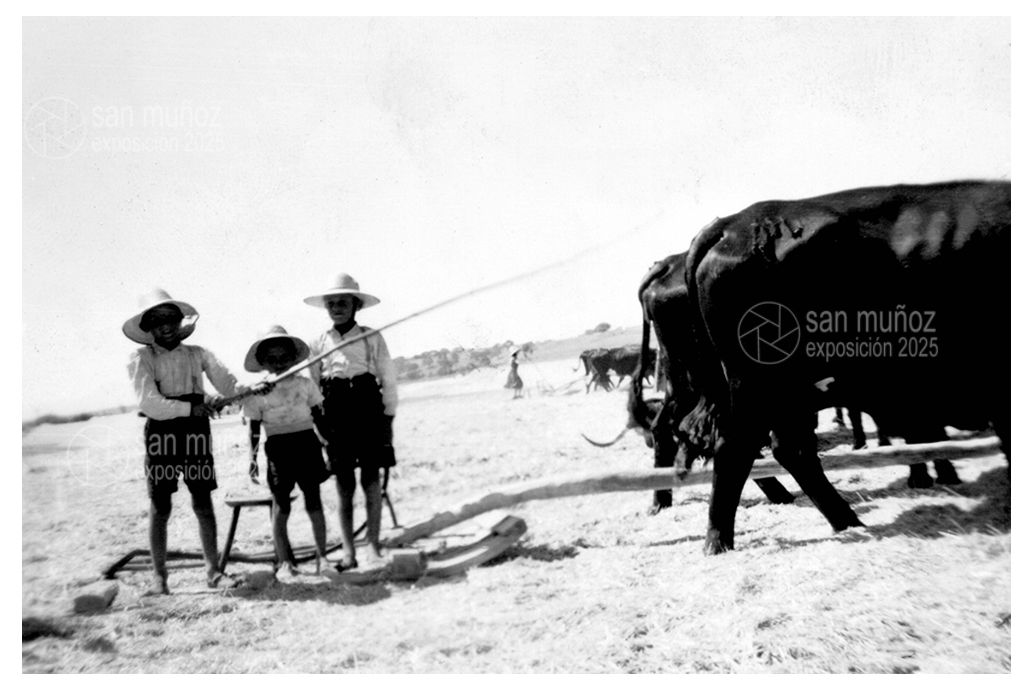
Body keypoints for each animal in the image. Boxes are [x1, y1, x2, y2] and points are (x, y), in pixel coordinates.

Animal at [629, 180, 1009, 554]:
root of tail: (731, 225)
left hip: (742, 386)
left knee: (777, 446)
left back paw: (843, 519)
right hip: (753, 385)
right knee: (735, 445)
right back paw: (720, 539)